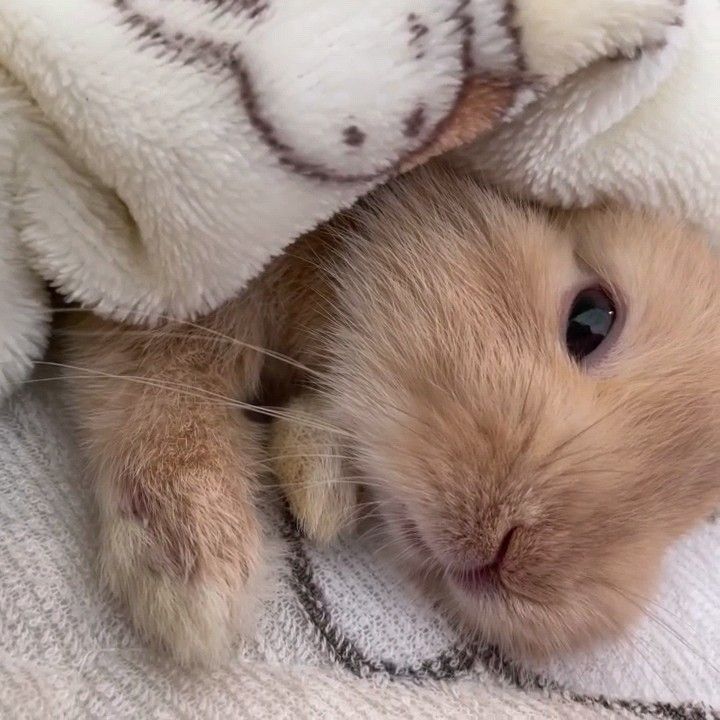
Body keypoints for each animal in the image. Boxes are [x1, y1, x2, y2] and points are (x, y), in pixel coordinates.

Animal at [62, 164, 720, 665]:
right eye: (589, 319)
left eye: (704, 512)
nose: (515, 564)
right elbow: (161, 364)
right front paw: (195, 581)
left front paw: (319, 481)